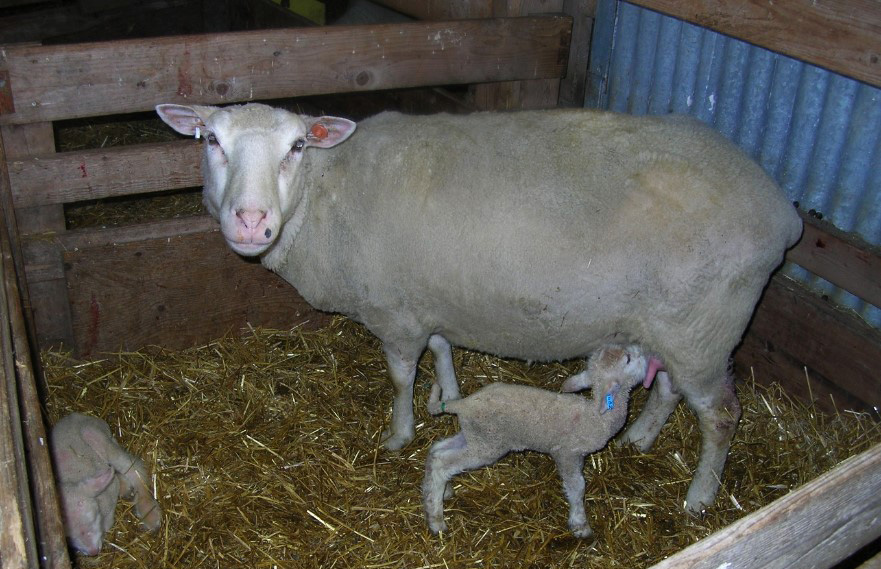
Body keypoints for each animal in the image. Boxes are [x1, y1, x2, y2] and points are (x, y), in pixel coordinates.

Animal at [50, 412, 162, 556]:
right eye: (68, 537)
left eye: (93, 518)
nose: (93, 552)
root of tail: (72, 416)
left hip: (94, 434)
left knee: (133, 469)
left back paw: (148, 511)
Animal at [155, 102, 800, 510]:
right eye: (211, 141)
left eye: (294, 146)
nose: (250, 221)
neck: (325, 194)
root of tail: (781, 210)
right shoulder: (428, 298)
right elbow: (442, 347)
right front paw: (446, 395)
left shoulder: (394, 312)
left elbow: (399, 376)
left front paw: (399, 433)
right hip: (675, 323)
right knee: (667, 386)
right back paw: (640, 439)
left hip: (704, 328)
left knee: (721, 415)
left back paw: (700, 495)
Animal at [422, 344, 656, 540]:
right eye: (628, 359)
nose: (646, 351)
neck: (596, 416)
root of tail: (464, 404)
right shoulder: (566, 454)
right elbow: (577, 486)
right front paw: (580, 524)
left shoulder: (576, 456)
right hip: (487, 444)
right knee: (443, 463)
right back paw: (436, 521)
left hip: (475, 435)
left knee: (436, 451)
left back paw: (442, 491)